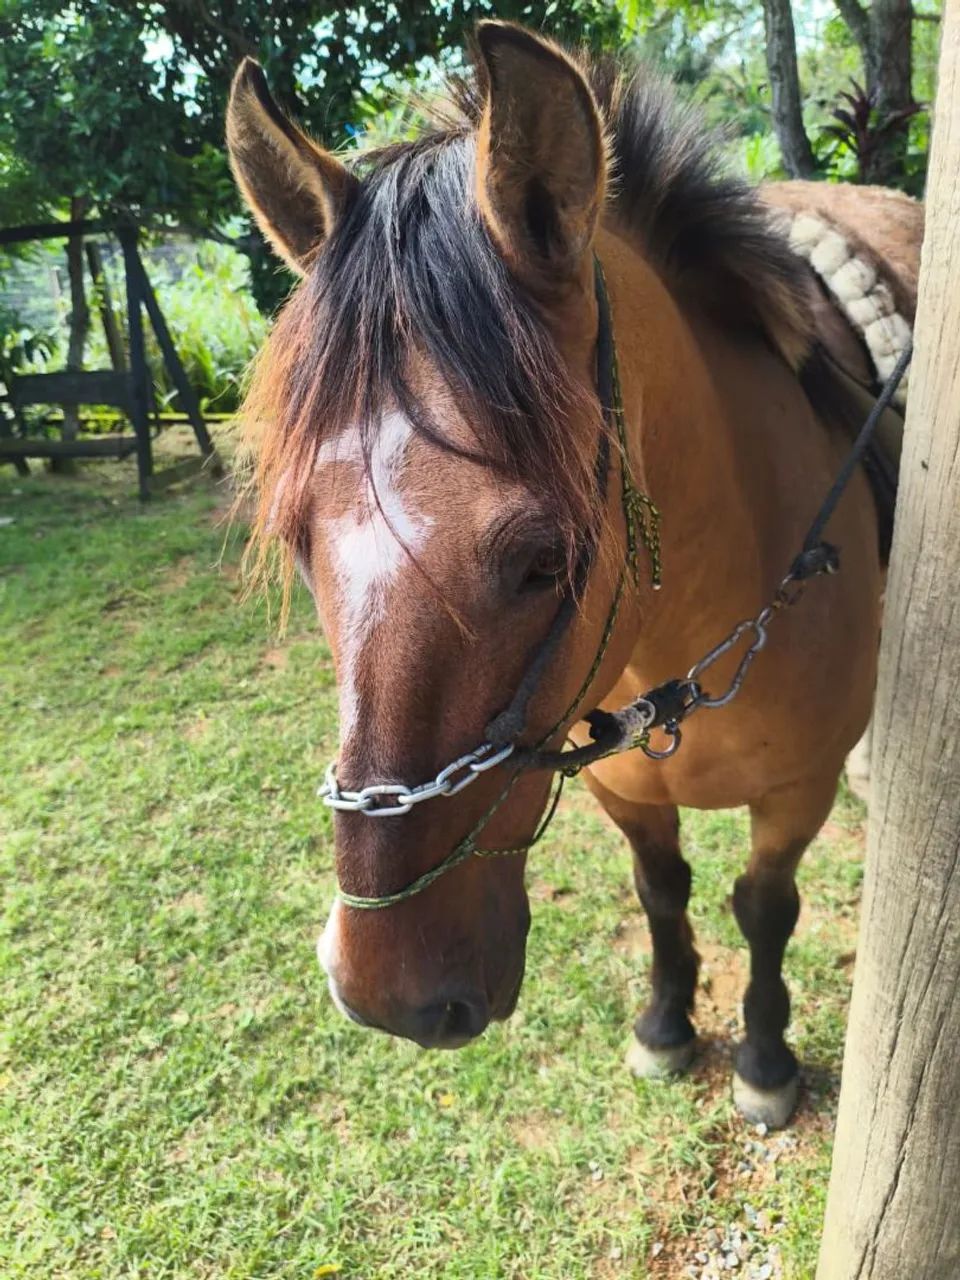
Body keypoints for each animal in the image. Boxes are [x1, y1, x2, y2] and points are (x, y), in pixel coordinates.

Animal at [226, 22, 922, 1128]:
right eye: (298, 540)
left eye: (543, 556)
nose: (387, 991)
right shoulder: (622, 790)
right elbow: (663, 889)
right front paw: (667, 1023)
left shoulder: (795, 794)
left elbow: (764, 908)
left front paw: (764, 1058)